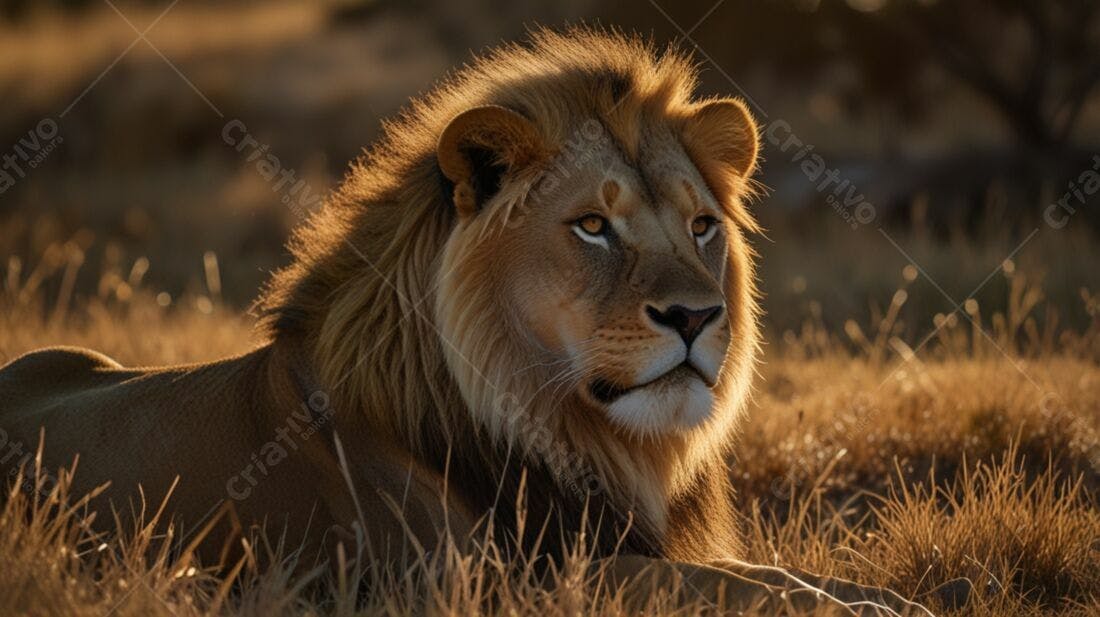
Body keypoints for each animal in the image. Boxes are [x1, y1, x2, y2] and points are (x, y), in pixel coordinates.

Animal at [0, 28, 932, 614]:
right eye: (593, 226)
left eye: (702, 225)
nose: (698, 315)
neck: (572, 435)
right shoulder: (467, 581)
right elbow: (692, 583)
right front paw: (849, 608)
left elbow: (759, 569)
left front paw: (895, 595)